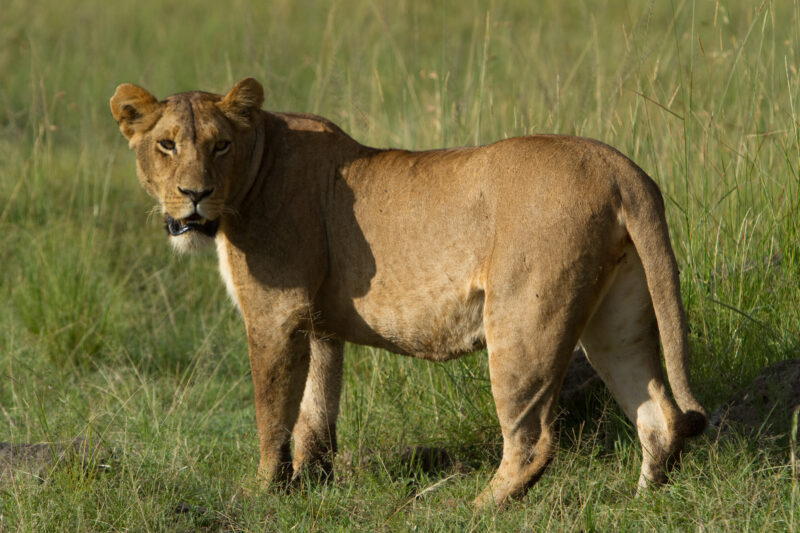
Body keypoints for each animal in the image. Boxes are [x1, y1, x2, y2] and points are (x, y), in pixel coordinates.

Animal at [110, 77, 706, 507]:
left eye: (220, 146)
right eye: (167, 146)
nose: (194, 194)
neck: (250, 178)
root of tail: (621, 168)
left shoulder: (275, 315)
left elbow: (272, 413)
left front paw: (263, 494)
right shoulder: (316, 324)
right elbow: (315, 414)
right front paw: (313, 487)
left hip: (524, 320)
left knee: (534, 439)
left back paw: (475, 509)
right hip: (617, 318)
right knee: (659, 414)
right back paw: (642, 501)